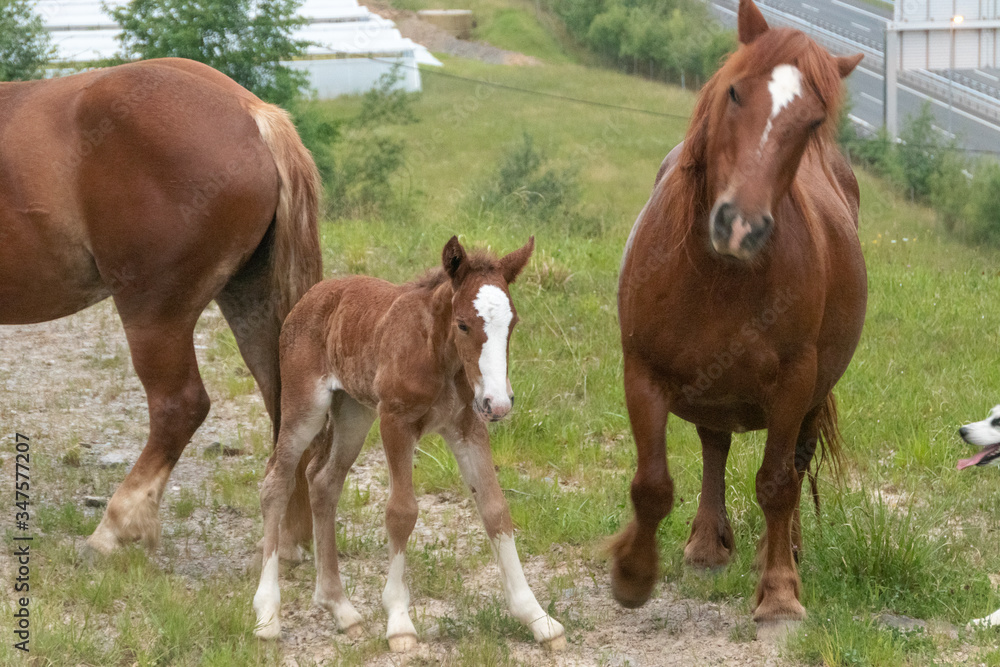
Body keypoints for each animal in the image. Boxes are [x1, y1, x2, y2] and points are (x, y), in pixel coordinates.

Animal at [0, 58, 322, 556]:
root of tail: (252, 112)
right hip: (252, 301)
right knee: (285, 403)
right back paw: (288, 541)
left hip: (153, 312)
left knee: (179, 406)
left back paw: (116, 527)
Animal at [252, 236, 567, 652]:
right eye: (463, 324)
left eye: (512, 323)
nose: (498, 404)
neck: (439, 355)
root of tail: (312, 295)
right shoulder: (395, 421)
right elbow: (401, 512)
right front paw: (399, 621)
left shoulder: (468, 428)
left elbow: (496, 509)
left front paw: (537, 617)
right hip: (305, 408)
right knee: (277, 481)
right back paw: (268, 613)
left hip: (353, 413)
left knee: (323, 481)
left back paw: (340, 608)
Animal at [612, 0, 867, 627]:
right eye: (734, 92)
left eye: (812, 122)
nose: (741, 226)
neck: (717, 273)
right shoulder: (642, 372)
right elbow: (652, 483)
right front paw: (633, 574)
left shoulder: (796, 383)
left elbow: (777, 483)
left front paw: (779, 591)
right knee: (714, 443)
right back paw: (707, 543)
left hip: (810, 394)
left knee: (793, 466)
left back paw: (783, 550)